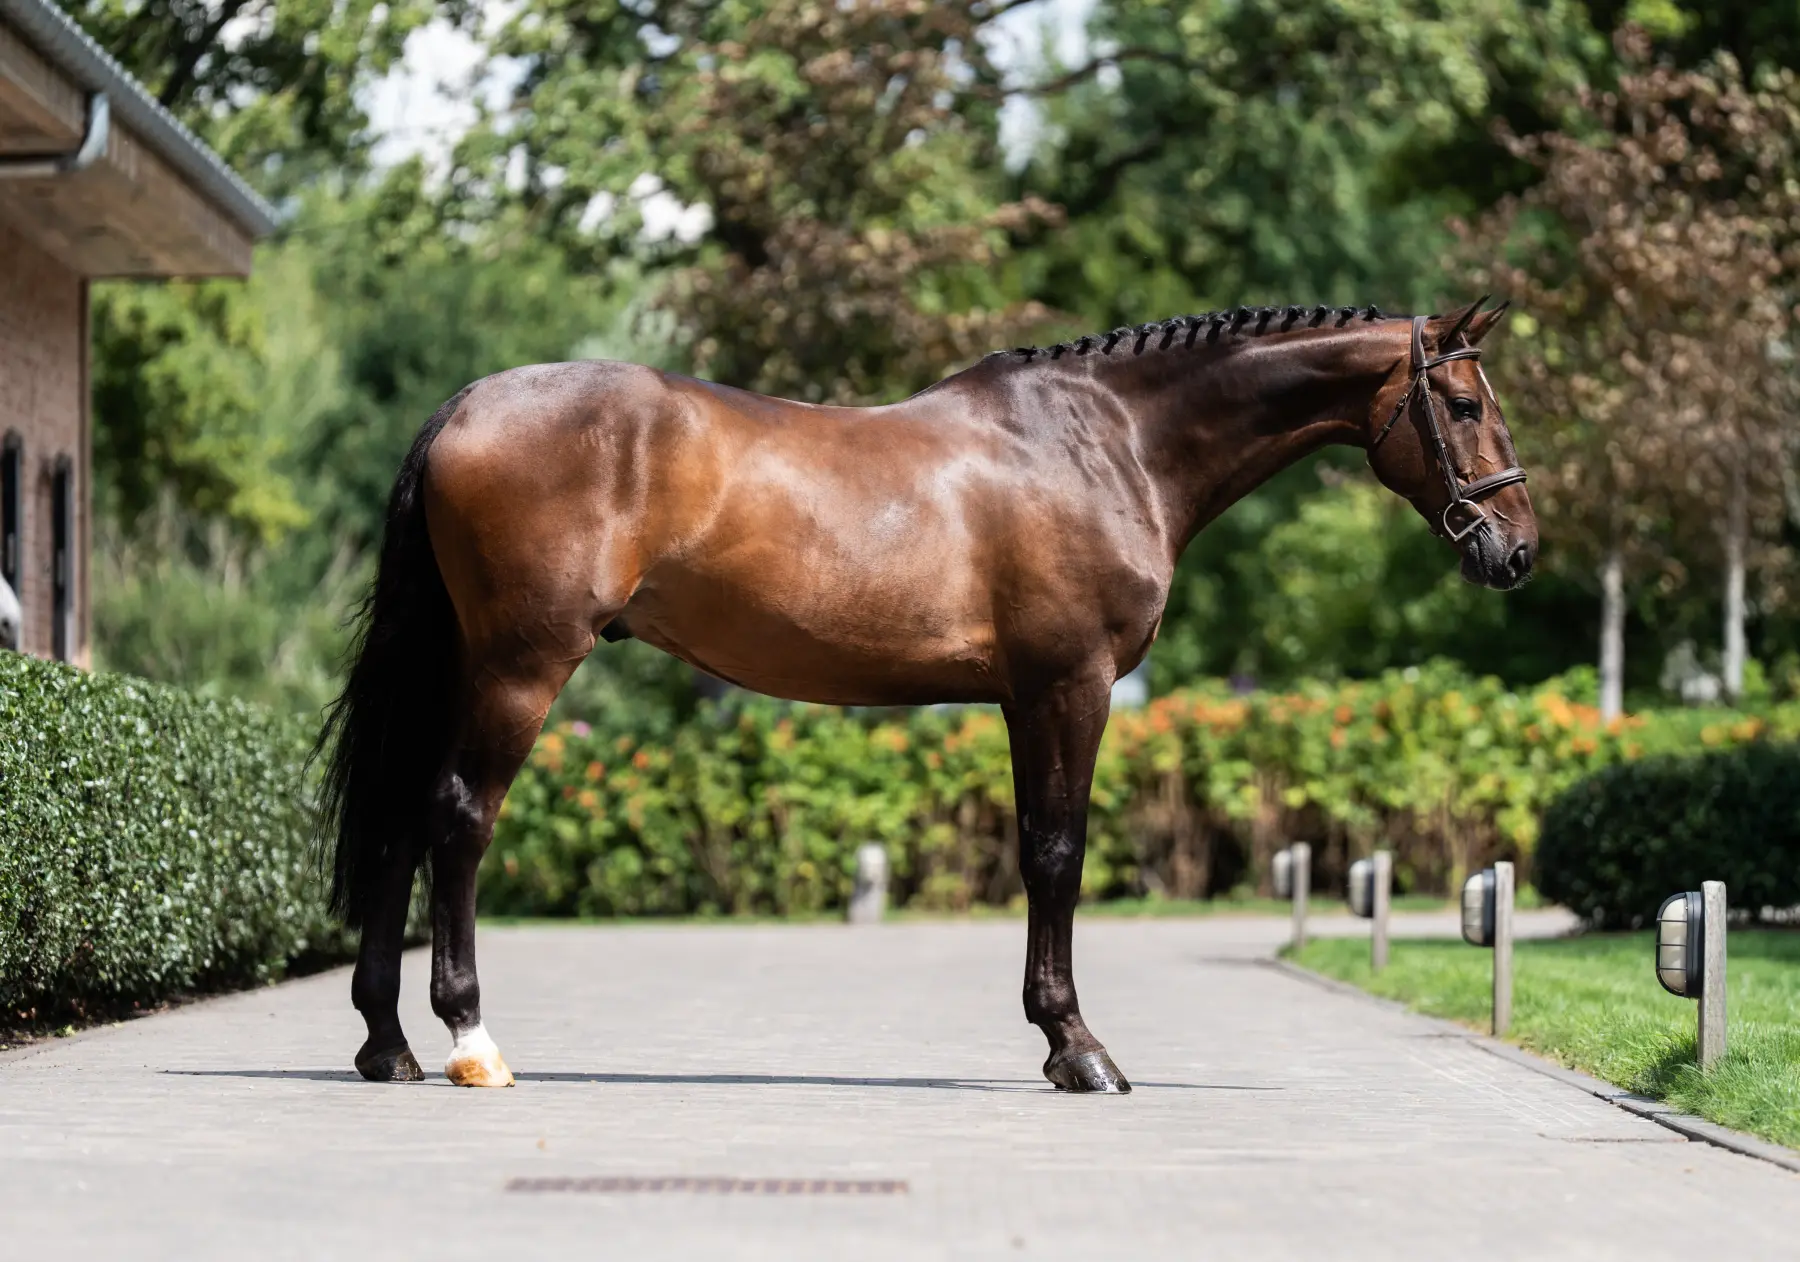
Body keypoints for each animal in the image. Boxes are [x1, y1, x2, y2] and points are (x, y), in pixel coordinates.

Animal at [318, 297, 1535, 1094]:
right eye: (1463, 401)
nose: (1516, 551)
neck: (1110, 444)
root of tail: (467, 405)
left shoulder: (1024, 697)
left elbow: (1043, 851)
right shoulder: (1067, 686)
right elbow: (1057, 855)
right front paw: (1078, 1049)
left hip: (460, 664)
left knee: (398, 823)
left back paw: (388, 1043)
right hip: (521, 665)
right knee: (457, 821)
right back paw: (470, 1041)